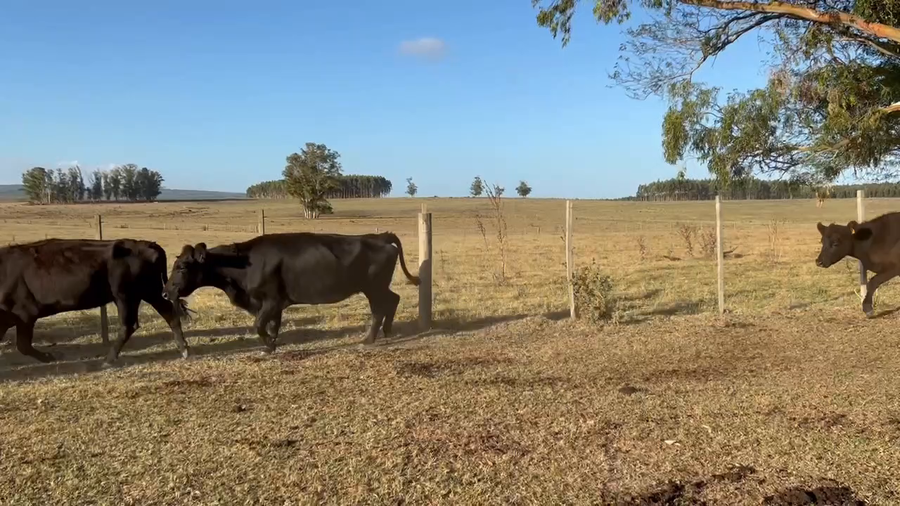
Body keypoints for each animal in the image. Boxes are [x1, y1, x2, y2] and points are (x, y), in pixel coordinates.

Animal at [0, 238, 191, 364]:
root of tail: (149, 244)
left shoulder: (25, 315)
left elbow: (23, 345)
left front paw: (49, 357)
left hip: (125, 295)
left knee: (129, 325)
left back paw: (109, 359)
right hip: (147, 292)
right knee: (168, 312)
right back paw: (183, 349)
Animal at [162, 231, 420, 351]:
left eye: (182, 266)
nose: (165, 293)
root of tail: (378, 236)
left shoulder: (271, 301)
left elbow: (259, 325)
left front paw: (269, 345)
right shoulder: (275, 304)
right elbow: (273, 325)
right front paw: (273, 344)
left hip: (373, 288)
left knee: (379, 309)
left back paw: (369, 338)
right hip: (377, 287)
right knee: (393, 300)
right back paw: (387, 330)